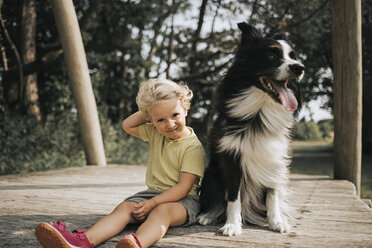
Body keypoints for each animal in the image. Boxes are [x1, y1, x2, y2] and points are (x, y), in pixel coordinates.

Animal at [198, 23, 306, 236]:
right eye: (272, 56)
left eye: (293, 56)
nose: (299, 68)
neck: (259, 112)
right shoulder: (231, 157)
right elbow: (233, 196)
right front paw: (232, 224)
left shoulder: (274, 157)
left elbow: (272, 193)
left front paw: (276, 221)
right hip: (210, 174)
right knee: (219, 199)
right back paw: (208, 215)